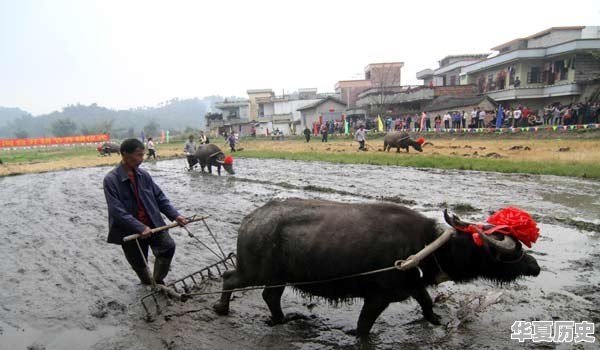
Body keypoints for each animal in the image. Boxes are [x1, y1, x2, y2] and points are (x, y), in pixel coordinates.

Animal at [213, 198, 540, 334]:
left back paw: (282, 319)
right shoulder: (378, 297)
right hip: (254, 271)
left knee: (270, 296)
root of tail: (251, 220)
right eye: (494, 250)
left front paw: (434, 319)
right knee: (229, 278)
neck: (423, 245)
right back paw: (221, 309)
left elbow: (426, 302)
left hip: (278, 277)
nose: (534, 266)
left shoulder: (413, 284)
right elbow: (363, 327)